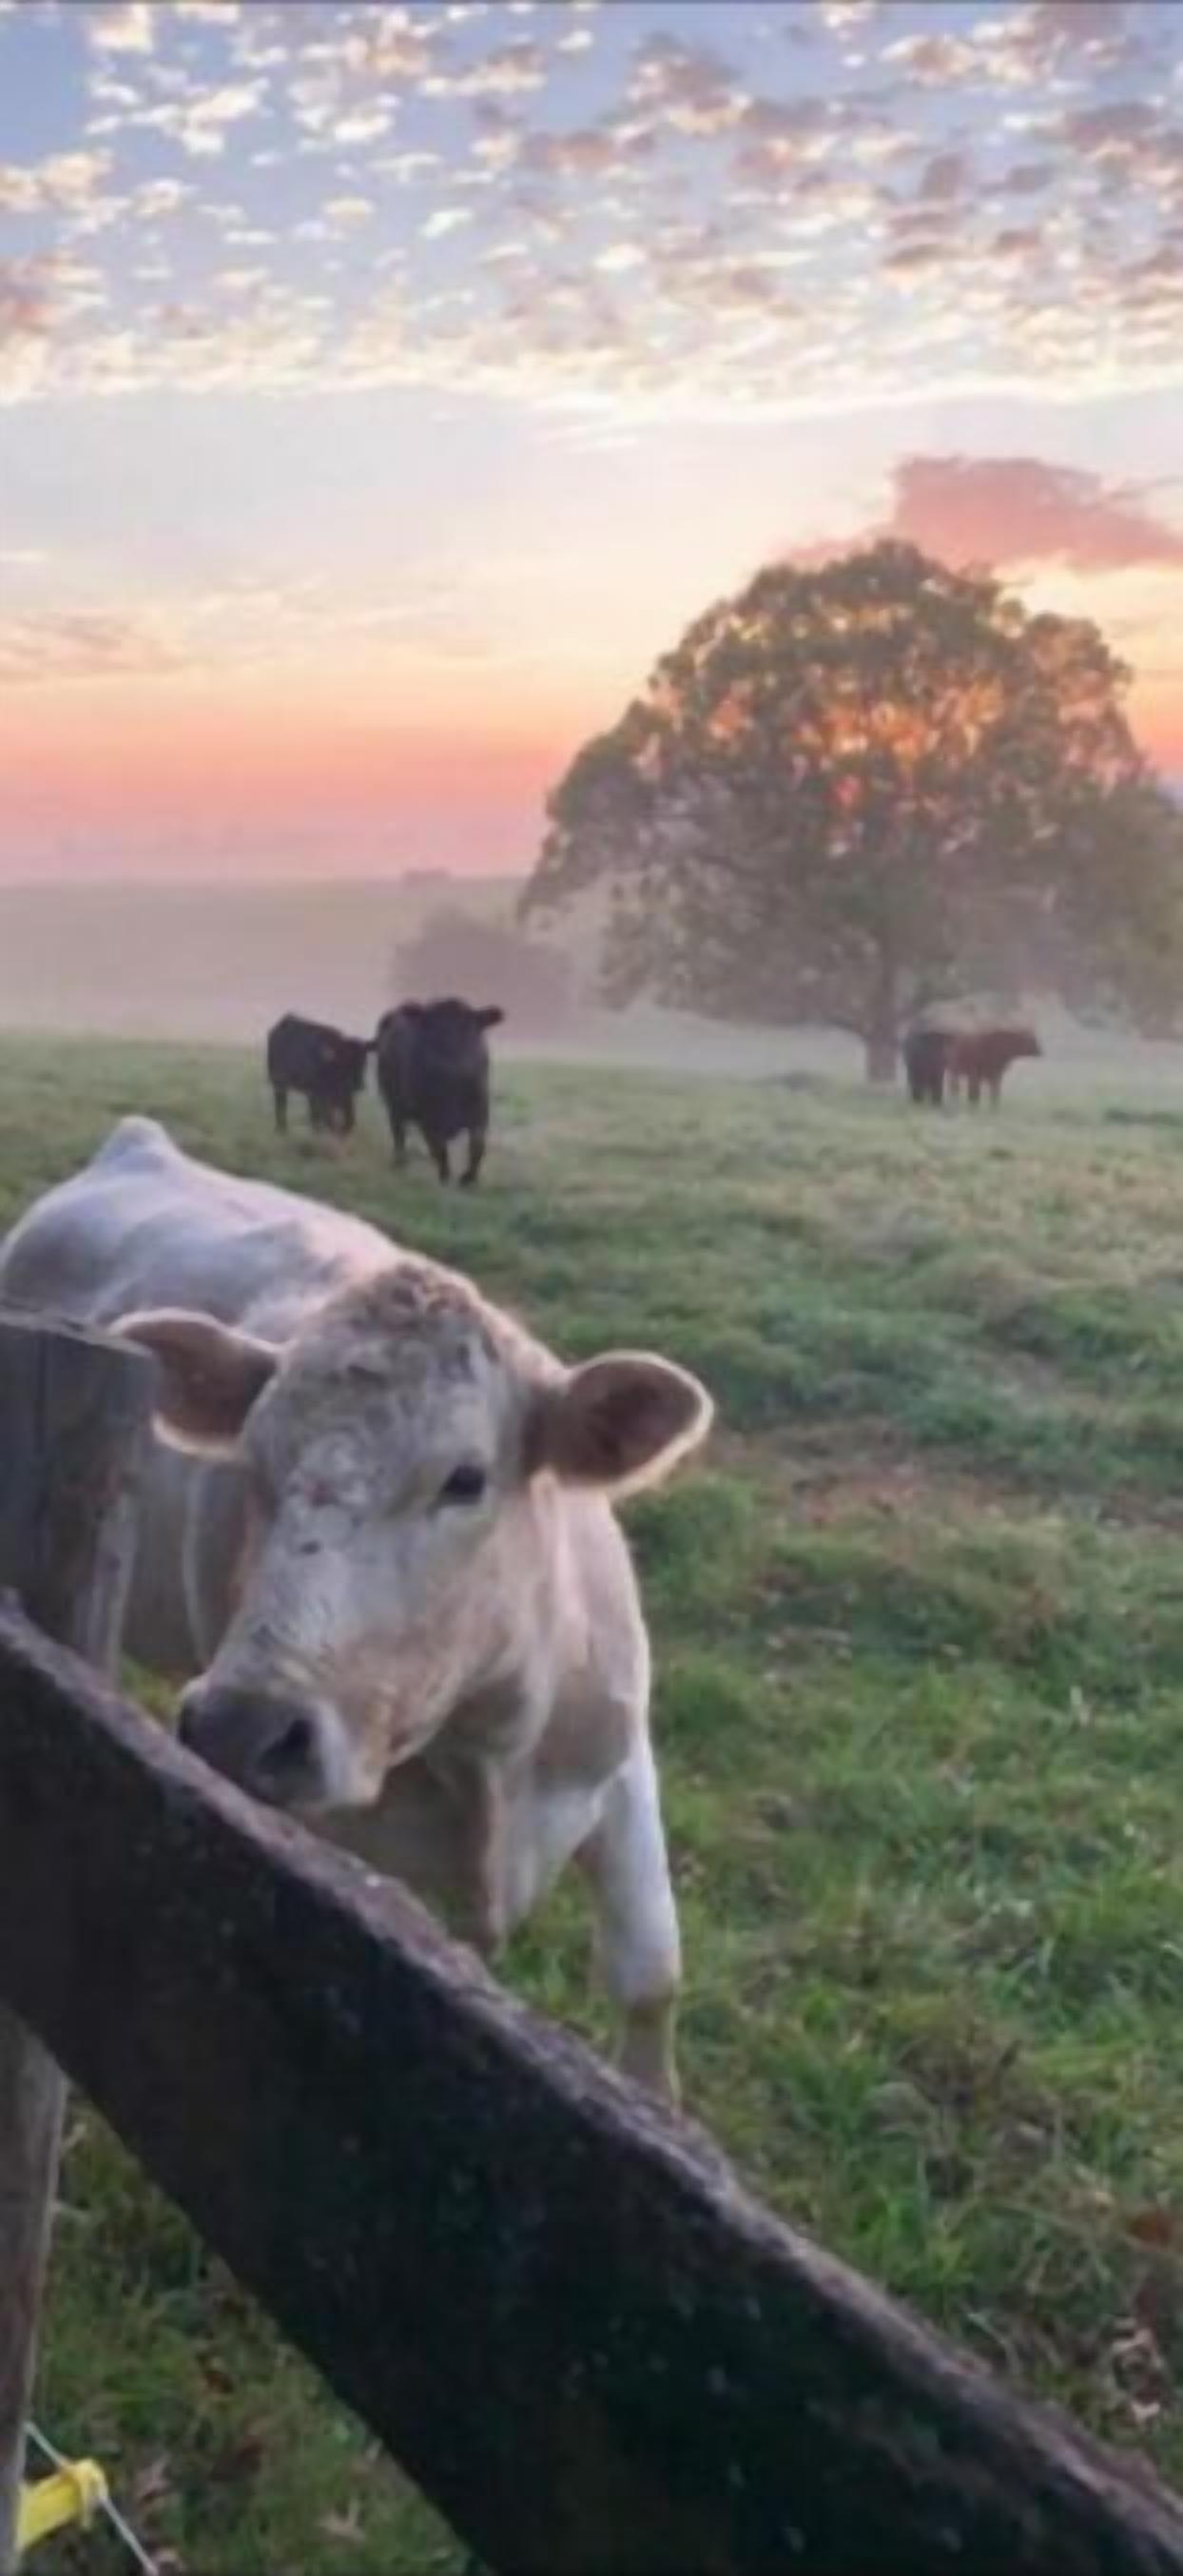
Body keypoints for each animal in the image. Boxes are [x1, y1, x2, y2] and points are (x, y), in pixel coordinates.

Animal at [0, 1117, 711, 2101]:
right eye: (251, 1463)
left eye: (465, 1479)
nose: (241, 1727)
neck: (494, 1746)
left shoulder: (622, 1760)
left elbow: (652, 1974)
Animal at [266, 1013, 374, 1138]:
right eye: (343, 1060)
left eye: (363, 1060)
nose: (358, 1084)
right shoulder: (323, 1094)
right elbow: (329, 1118)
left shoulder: (344, 1096)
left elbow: (349, 1120)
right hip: (279, 1082)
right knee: (281, 1105)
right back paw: (281, 1129)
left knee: (312, 1112)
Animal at [376, 998, 503, 1186]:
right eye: (432, 1034)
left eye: (470, 1032)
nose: (453, 1065)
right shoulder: (427, 1118)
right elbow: (439, 1149)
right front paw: (445, 1177)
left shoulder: (480, 1111)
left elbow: (477, 1145)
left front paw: (468, 1179)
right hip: (393, 1104)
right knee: (398, 1132)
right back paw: (400, 1162)